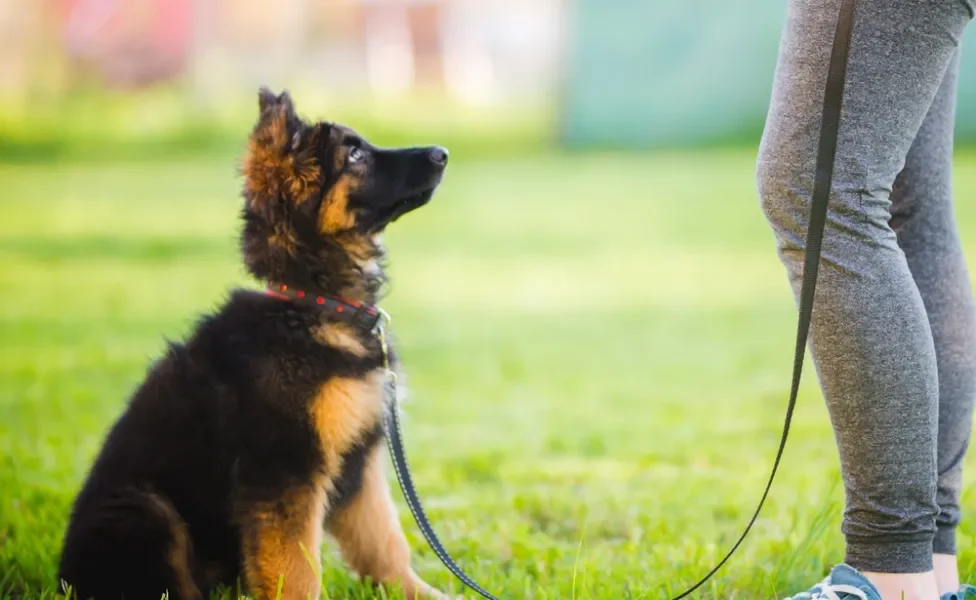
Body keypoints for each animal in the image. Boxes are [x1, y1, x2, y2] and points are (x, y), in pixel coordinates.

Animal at [60, 88, 454, 600]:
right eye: (354, 155)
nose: (442, 153)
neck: (312, 304)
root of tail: (64, 577)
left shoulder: (359, 460)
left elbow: (383, 539)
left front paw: (419, 591)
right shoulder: (283, 467)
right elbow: (298, 568)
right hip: (147, 511)